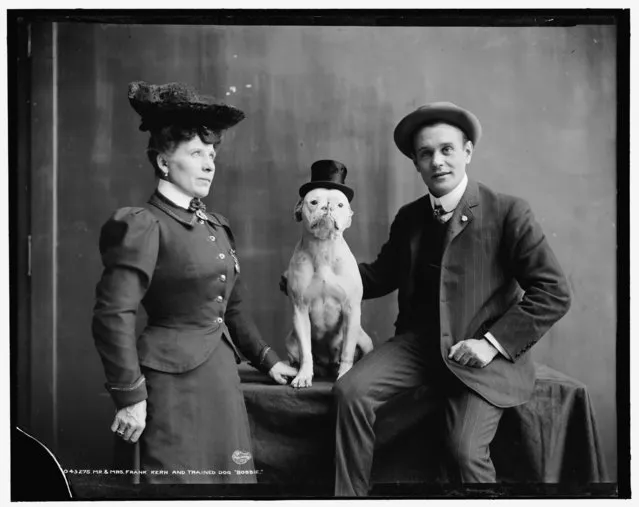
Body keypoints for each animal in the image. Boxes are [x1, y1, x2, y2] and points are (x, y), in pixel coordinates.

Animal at [286, 188, 376, 388]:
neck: (323, 247)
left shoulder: (351, 310)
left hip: (365, 340)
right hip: (291, 341)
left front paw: (345, 374)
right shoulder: (299, 309)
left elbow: (347, 351)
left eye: (340, 204)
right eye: (313, 202)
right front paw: (303, 376)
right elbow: (306, 352)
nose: (327, 207)